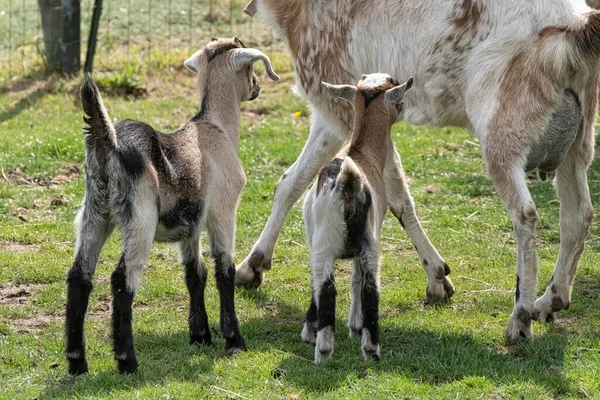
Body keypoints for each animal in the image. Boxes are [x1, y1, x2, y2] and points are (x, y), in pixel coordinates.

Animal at [64, 37, 280, 376]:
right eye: (250, 68)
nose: (257, 87)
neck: (215, 128)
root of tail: (106, 142)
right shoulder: (223, 212)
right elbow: (224, 270)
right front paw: (233, 339)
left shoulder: (190, 226)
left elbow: (195, 273)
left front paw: (200, 335)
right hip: (139, 218)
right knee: (122, 278)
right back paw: (126, 360)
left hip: (94, 215)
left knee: (79, 276)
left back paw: (77, 362)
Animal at [302, 73, 410, 364]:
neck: (361, 152)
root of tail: (347, 182)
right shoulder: (363, 246)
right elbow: (355, 281)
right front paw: (354, 326)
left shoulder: (316, 245)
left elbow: (321, 286)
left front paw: (310, 331)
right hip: (369, 245)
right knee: (370, 289)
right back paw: (370, 349)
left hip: (329, 243)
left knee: (328, 289)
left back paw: (324, 350)